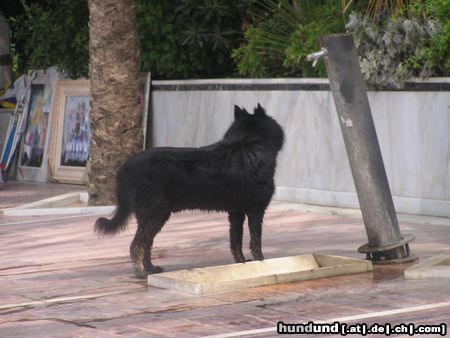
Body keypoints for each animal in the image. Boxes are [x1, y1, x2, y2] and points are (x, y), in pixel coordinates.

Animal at [95, 103, 284, 278]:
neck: (250, 144)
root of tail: (126, 167)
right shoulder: (255, 211)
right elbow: (256, 241)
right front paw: (261, 263)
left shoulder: (236, 213)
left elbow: (236, 241)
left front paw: (241, 263)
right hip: (156, 214)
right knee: (137, 245)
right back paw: (141, 272)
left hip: (150, 217)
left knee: (147, 244)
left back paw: (151, 269)